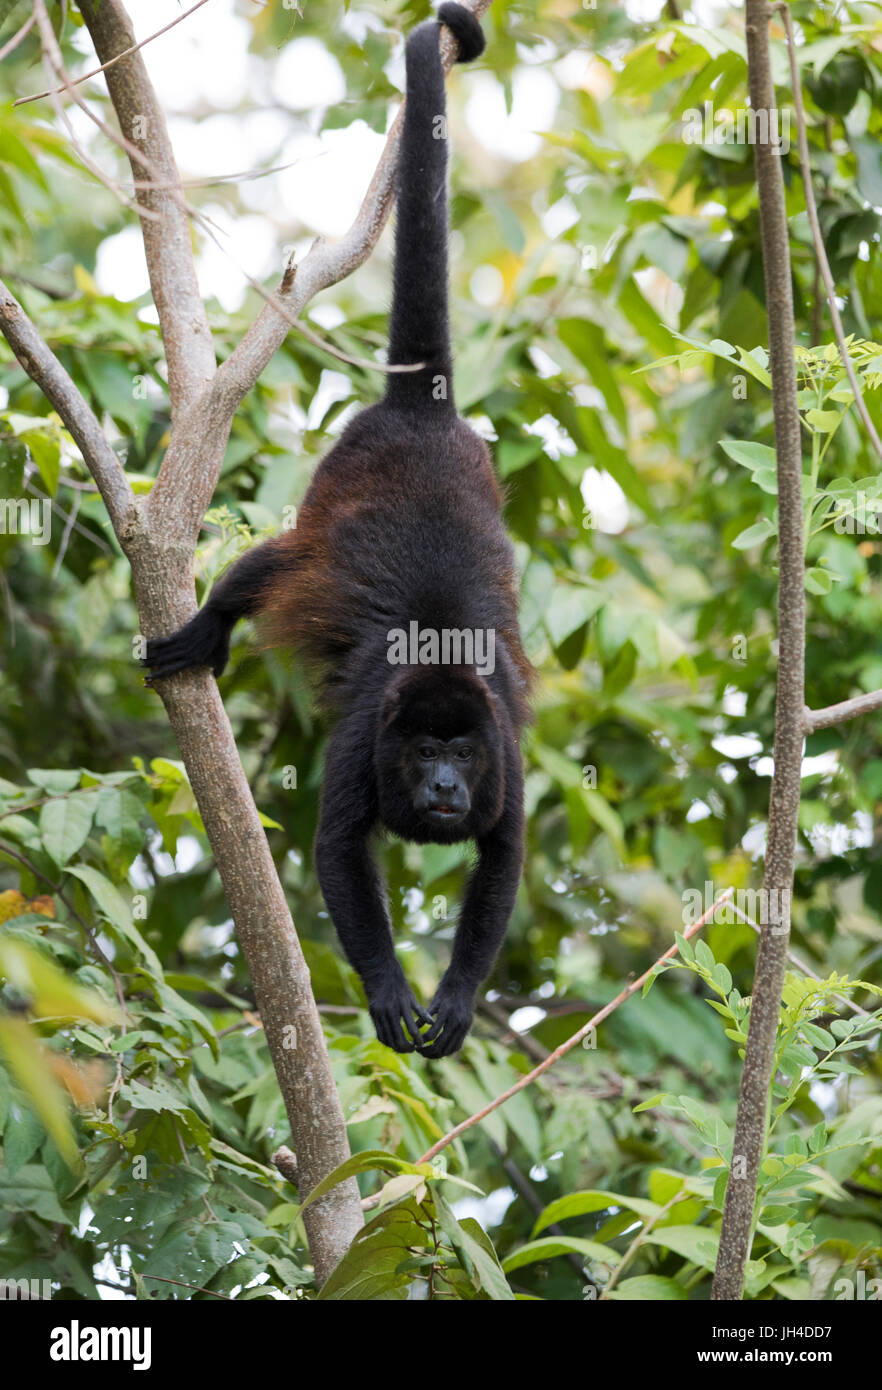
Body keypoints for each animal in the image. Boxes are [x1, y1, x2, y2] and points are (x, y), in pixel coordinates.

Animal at [145, 3, 533, 1057]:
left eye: (462, 754)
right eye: (424, 750)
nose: (442, 789)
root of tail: (419, 414)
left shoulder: (505, 750)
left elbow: (503, 855)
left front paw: (456, 997)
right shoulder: (371, 729)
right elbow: (335, 845)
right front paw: (392, 988)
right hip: (331, 484)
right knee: (274, 563)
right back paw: (206, 625)